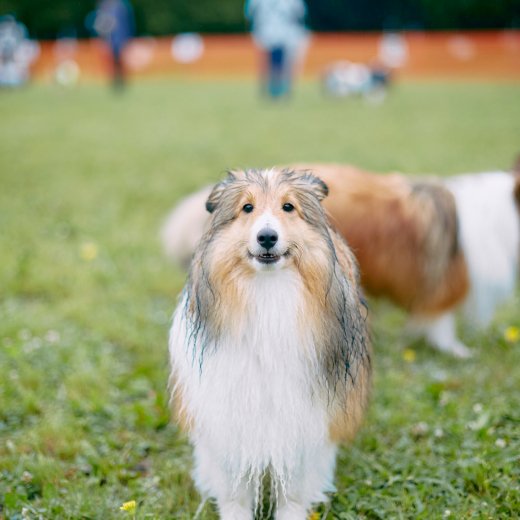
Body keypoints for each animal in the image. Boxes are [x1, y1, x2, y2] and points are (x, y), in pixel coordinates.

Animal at [169, 169, 372, 516]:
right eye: (247, 207)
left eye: (288, 207)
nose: (267, 237)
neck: (268, 292)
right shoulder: (227, 416)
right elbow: (235, 490)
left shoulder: (305, 420)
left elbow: (293, 489)